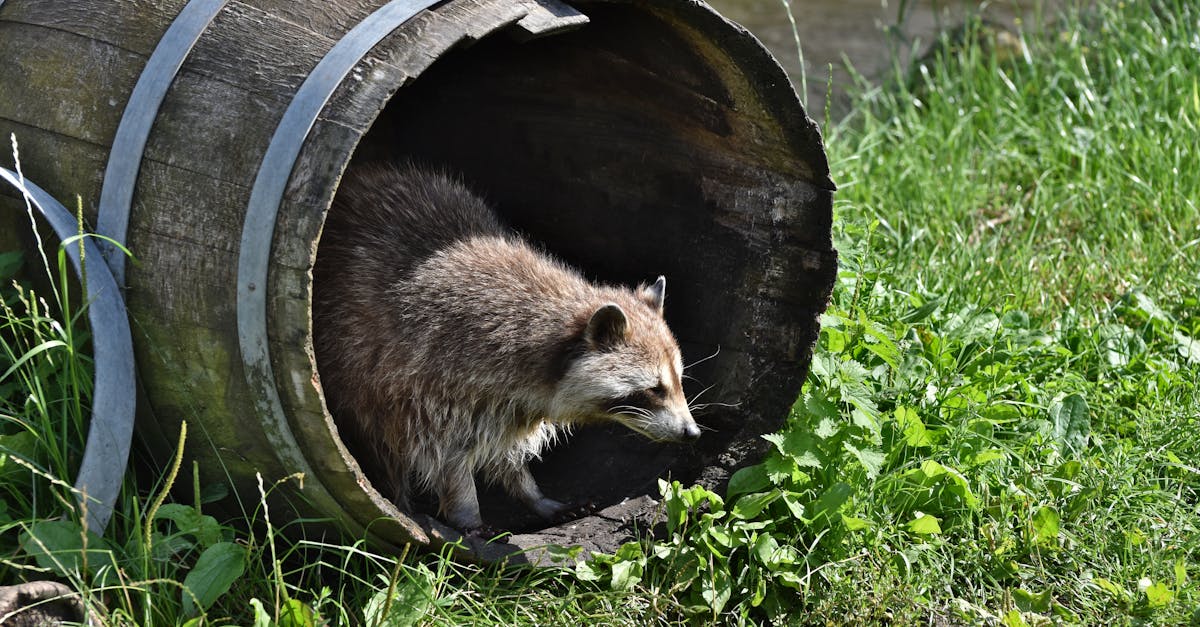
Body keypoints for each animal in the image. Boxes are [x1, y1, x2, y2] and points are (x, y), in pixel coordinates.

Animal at [314, 163, 700, 528]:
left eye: (678, 381)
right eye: (654, 389)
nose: (693, 432)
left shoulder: (509, 403)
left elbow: (506, 448)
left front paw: (530, 492)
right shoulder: (427, 375)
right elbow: (443, 452)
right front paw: (466, 510)